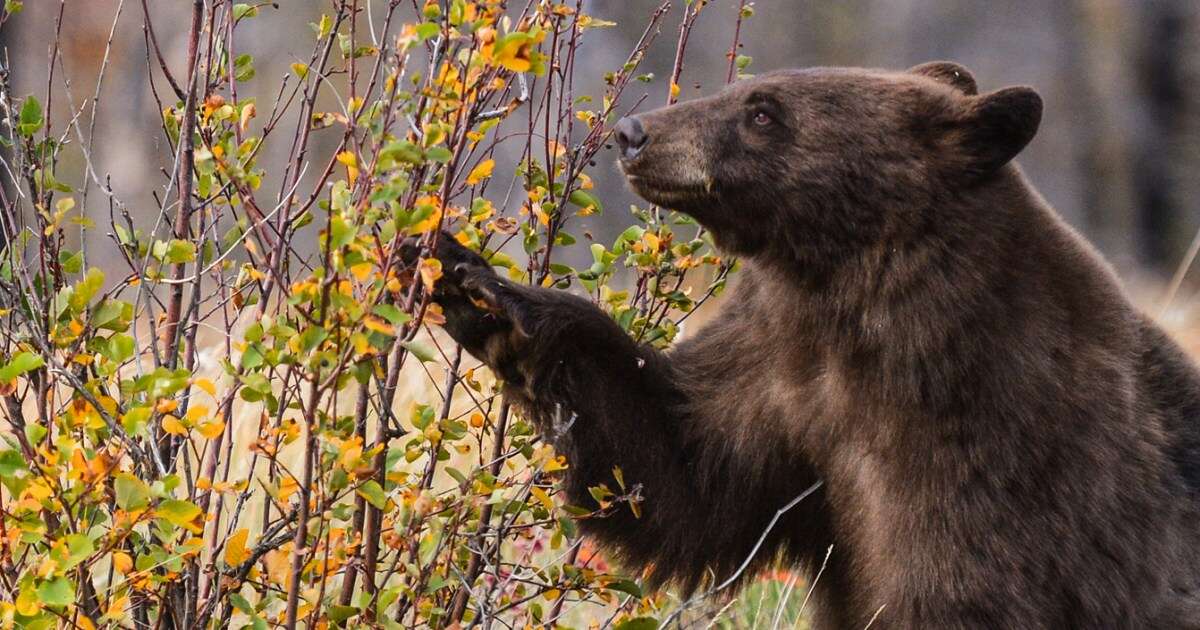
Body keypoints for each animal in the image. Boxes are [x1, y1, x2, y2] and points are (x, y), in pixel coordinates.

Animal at [412, 63, 1200, 628]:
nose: (634, 132)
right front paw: (477, 286)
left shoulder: (996, 443)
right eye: (743, 92)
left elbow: (955, 581)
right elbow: (678, 467)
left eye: (764, 111)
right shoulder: (779, 369)